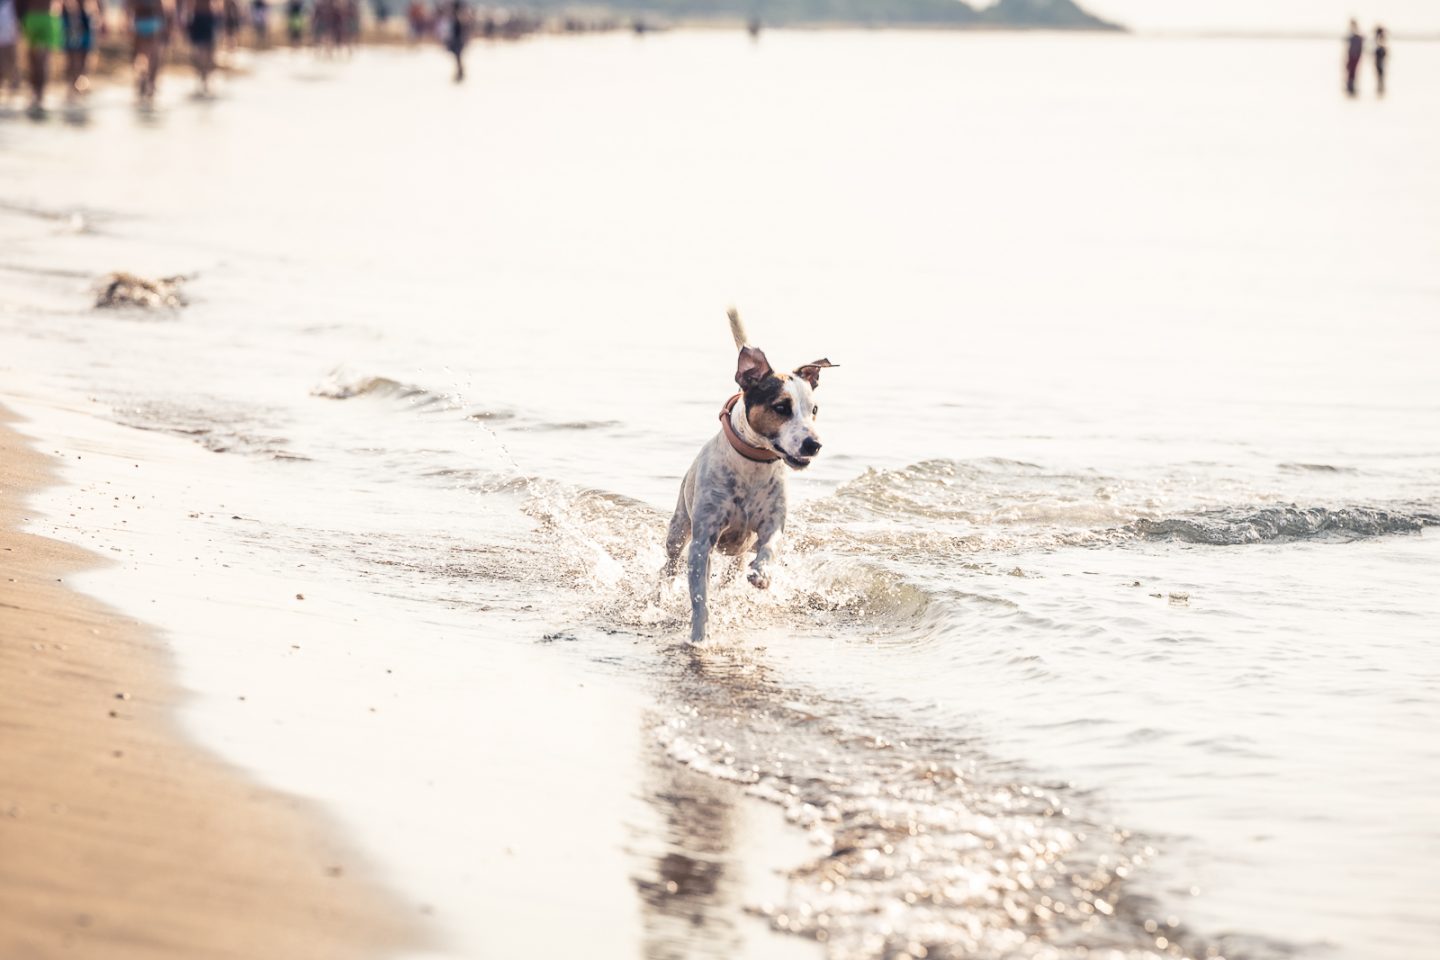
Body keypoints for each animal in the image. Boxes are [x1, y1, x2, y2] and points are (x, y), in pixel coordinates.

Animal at [659, 309, 835, 644]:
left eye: (815, 409)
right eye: (781, 407)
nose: (814, 444)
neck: (754, 464)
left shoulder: (772, 524)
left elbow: (770, 546)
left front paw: (762, 574)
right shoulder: (702, 541)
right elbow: (700, 596)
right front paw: (699, 636)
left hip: (738, 552)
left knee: (733, 571)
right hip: (679, 527)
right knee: (670, 563)